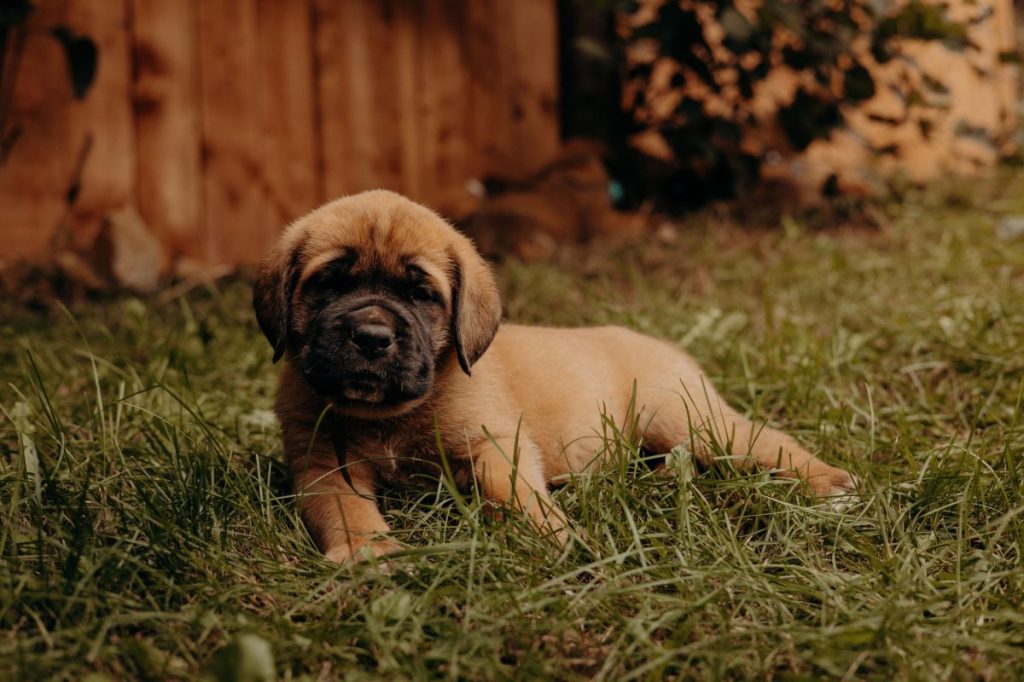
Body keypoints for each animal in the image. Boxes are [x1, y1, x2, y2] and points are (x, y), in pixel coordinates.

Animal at [253, 188, 856, 561]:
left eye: (420, 294)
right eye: (329, 283)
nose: (372, 336)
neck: (389, 416)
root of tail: (662, 345)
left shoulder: (495, 444)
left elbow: (514, 494)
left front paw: (549, 537)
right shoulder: (323, 464)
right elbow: (344, 509)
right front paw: (366, 550)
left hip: (690, 420)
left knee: (765, 442)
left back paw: (827, 482)